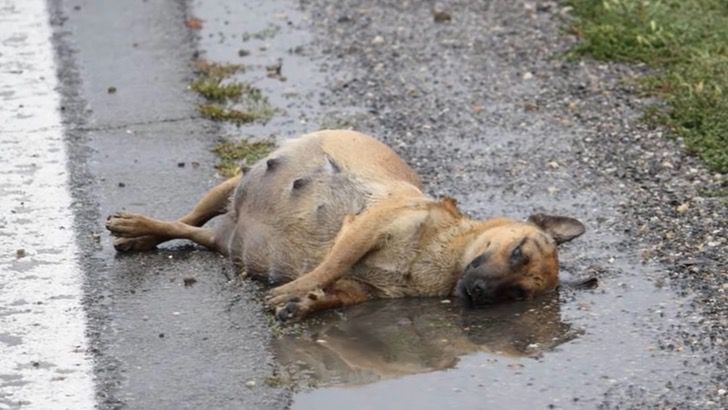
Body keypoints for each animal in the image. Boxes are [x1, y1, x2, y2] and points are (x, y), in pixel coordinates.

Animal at [106, 131, 584, 320]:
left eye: (518, 294)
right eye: (518, 251)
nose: (481, 293)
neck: (439, 260)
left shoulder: (362, 289)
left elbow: (334, 291)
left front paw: (304, 304)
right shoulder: (364, 228)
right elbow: (329, 266)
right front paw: (293, 290)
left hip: (222, 236)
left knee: (191, 232)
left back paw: (139, 235)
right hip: (229, 187)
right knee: (185, 219)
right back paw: (136, 226)